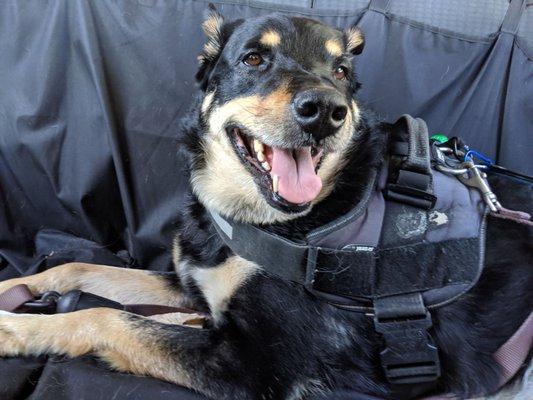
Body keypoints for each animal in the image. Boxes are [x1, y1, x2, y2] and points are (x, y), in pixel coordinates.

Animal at [0, 6, 528, 400]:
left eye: (340, 71)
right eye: (253, 60)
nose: (326, 111)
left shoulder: (252, 366)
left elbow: (106, 317)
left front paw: (13, 330)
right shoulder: (190, 286)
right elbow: (80, 271)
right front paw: (17, 290)